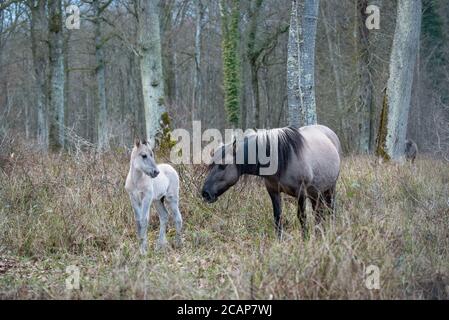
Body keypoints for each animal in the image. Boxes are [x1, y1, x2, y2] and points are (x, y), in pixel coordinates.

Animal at [201, 125, 342, 238]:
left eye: (223, 165)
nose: (205, 193)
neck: (282, 159)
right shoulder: (273, 191)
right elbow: (277, 217)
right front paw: (279, 241)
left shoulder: (301, 193)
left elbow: (302, 217)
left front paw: (305, 240)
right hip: (315, 193)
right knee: (318, 213)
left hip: (330, 189)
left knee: (330, 210)